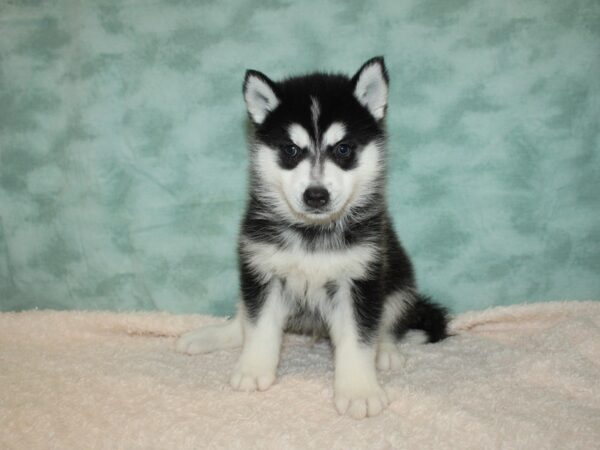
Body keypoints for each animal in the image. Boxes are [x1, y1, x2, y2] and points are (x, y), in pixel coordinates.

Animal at [176, 58, 448, 420]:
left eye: (343, 149)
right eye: (291, 150)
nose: (315, 195)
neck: (312, 233)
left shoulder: (360, 279)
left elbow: (359, 337)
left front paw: (359, 390)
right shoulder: (262, 269)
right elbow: (259, 326)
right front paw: (253, 369)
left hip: (399, 280)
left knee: (388, 321)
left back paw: (386, 351)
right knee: (244, 317)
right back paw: (214, 336)